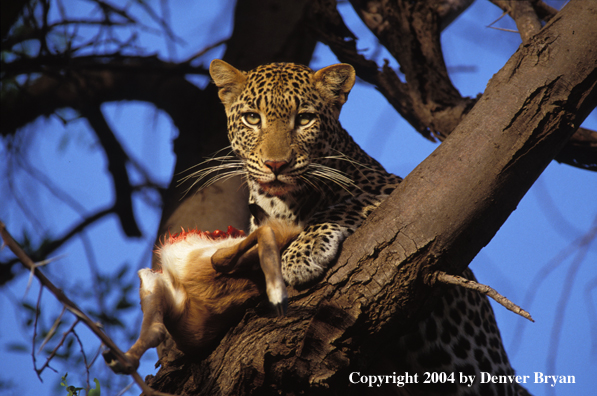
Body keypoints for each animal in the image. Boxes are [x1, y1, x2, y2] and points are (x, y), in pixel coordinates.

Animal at [208, 59, 528, 396]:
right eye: (252, 118)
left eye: (305, 119)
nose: (276, 165)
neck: (279, 202)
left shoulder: (401, 188)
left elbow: (345, 205)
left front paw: (300, 256)